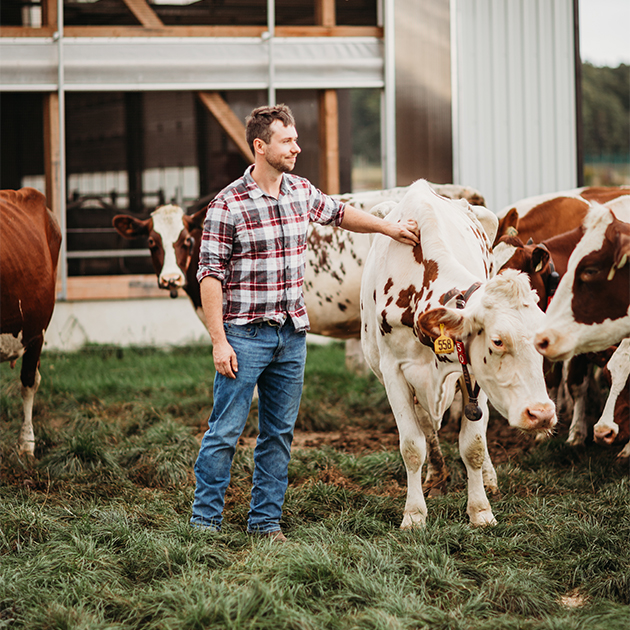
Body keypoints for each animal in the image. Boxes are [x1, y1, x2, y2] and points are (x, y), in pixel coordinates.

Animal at [360, 180, 556, 532]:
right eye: (497, 341)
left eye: (540, 339)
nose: (542, 414)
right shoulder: (393, 372)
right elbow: (412, 446)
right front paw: (414, 514)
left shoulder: (474, 377)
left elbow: (473, 446)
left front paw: (480, 510)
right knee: (426, 426)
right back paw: (436, 475)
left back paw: (488, 477)